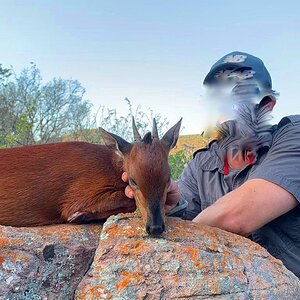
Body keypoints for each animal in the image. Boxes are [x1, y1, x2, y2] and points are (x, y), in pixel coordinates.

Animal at [0, 117, 182, 234]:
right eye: (133, 180)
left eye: (168, 179)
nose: (155, 228)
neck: (111, 166)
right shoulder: (73, 199)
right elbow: (129, 200)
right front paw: (79, 216)